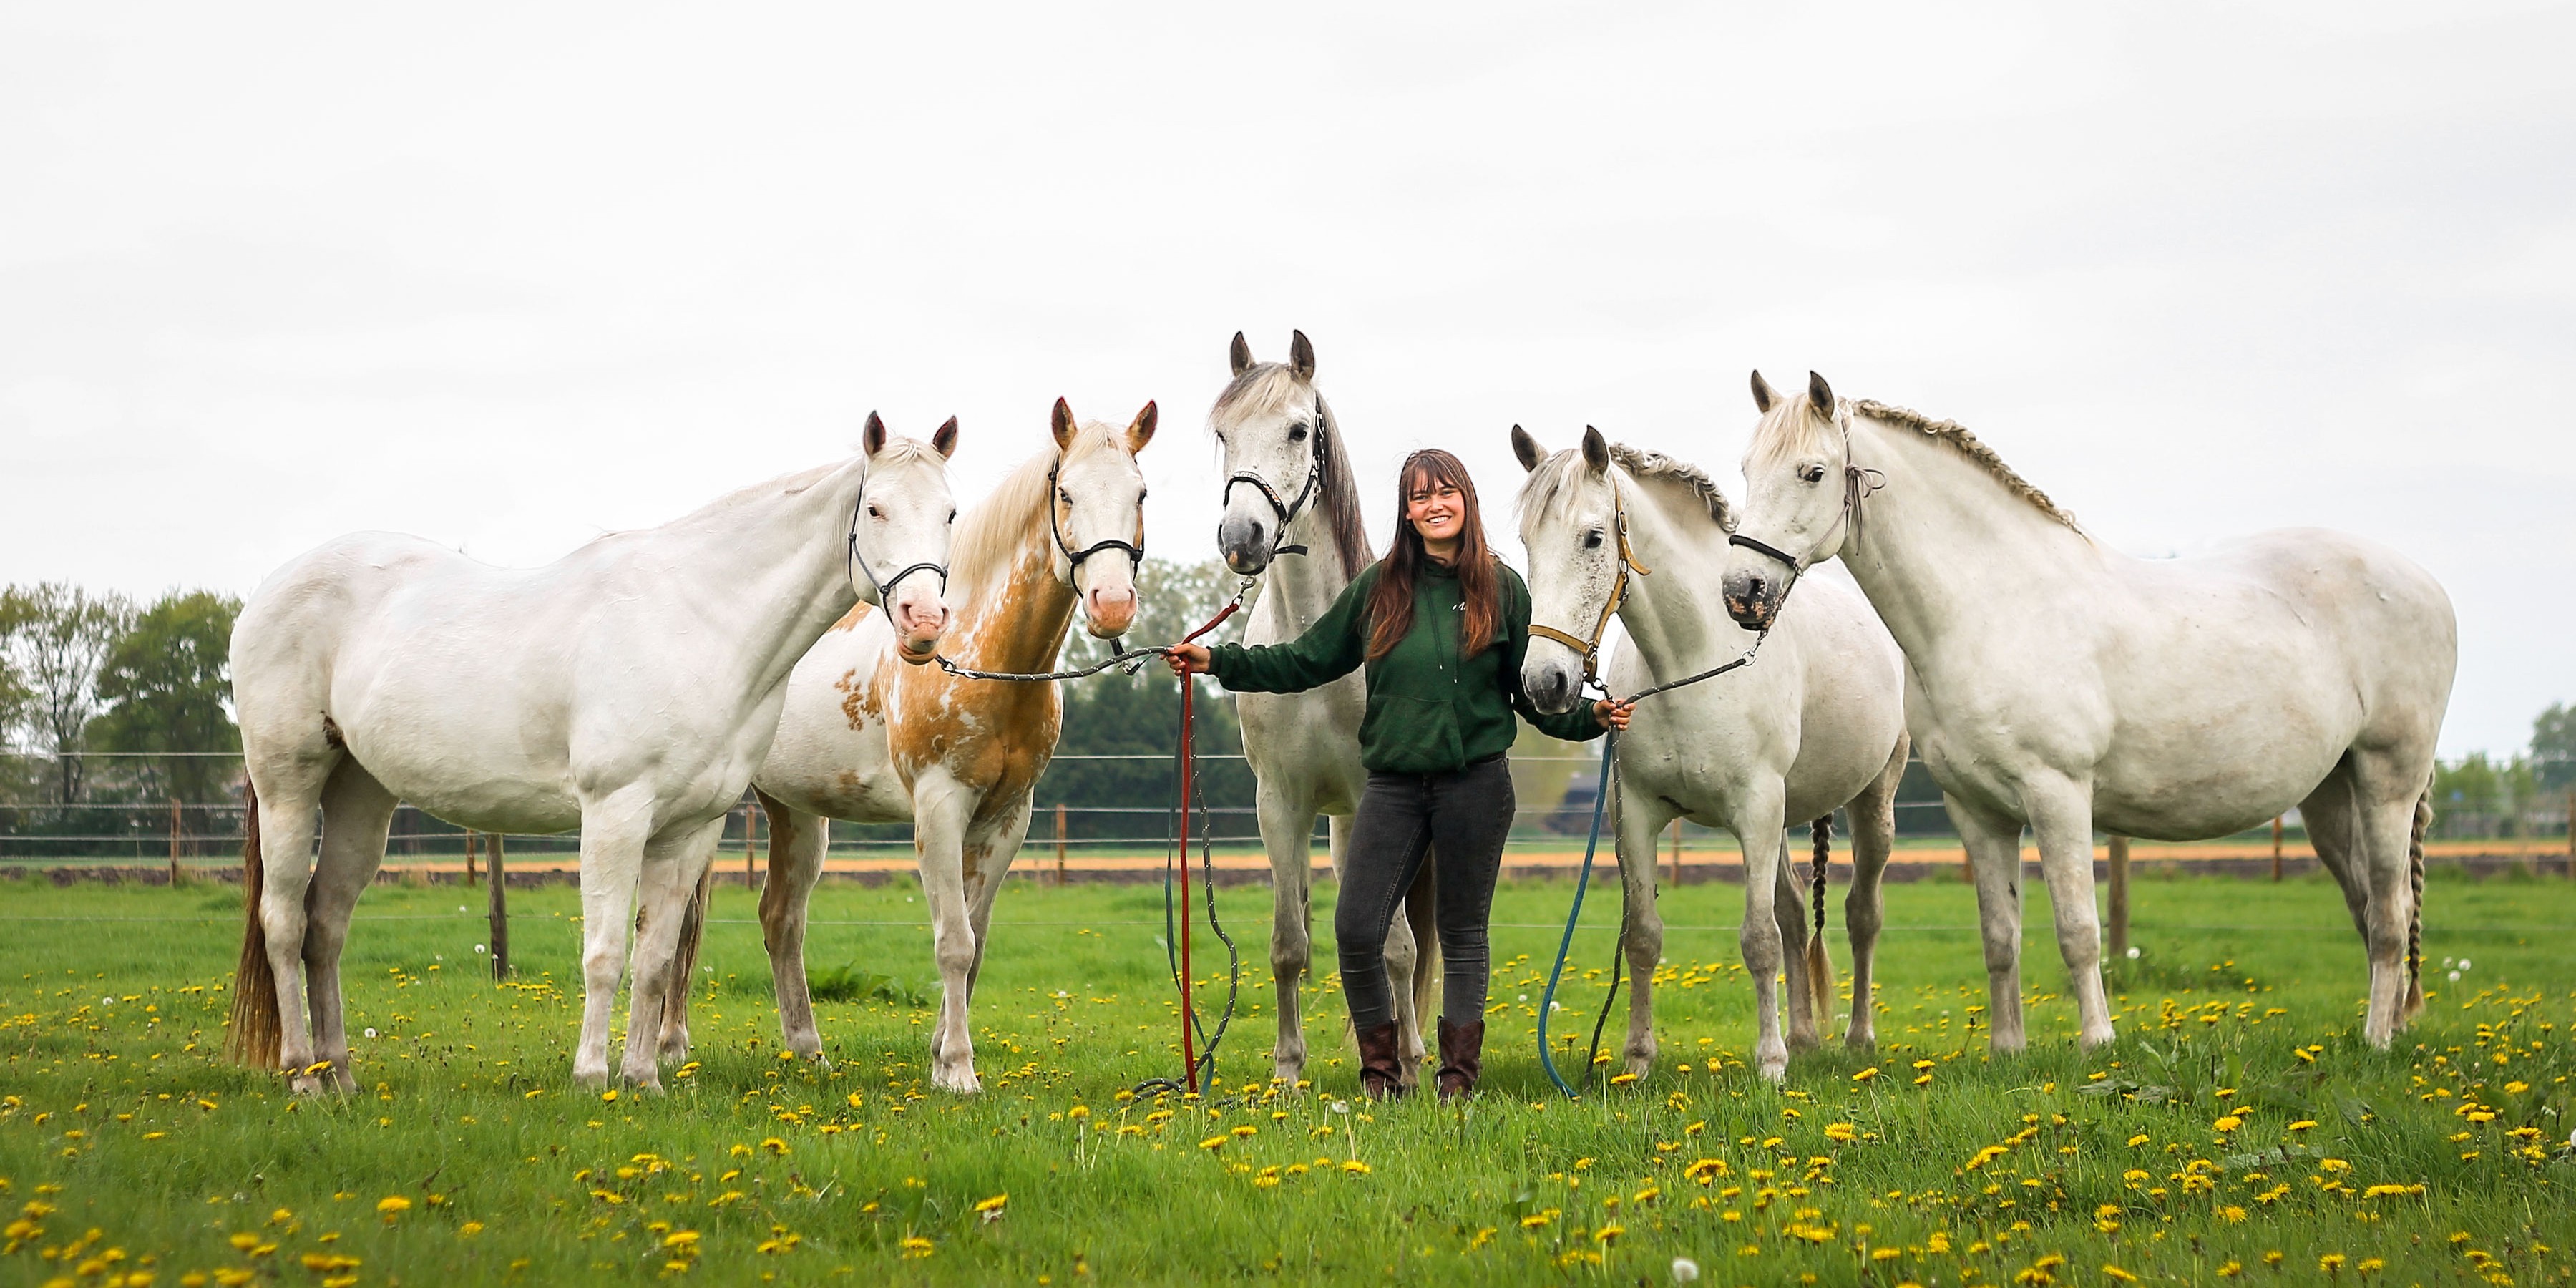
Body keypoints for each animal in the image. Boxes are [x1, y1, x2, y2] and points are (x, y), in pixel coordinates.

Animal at [225, 415, 961, 1093]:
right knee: (284, 923)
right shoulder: (615, 811)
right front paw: (590, 1075)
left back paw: (341, 1076)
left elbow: (655, 958)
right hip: (289, 785)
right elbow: (604, 954)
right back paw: (302, 1075)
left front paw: (642, 1078)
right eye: (876, 508)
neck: (698, 621)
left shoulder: (690, 829)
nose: (924, 623)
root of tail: (269, 589)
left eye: (951, 512)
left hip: (360, 793)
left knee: (326, 925)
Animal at [725, 399, 1155, 1094]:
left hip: (796, 813)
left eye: (1140, 494)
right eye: (1066, 493)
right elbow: (953, 942)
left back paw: (809, 1053)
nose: (1111, 603)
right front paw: (956, 1071)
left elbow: (975, 945)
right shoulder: (939, 808)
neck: (988, 661)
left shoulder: (1007, 820)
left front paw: (938, 1054)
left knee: (781, 919)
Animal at [1210, 330, 1440, 1088]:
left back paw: (1409, 1049)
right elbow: (1290, 943)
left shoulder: (1379, 800)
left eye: (1297, 429)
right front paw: (1288, 1067)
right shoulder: (1279, 805)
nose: (1242, 537)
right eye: (1223, 433)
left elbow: (1396, 945)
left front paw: (1404, 1062)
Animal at [1512, 425, 1911, 1084]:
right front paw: (1638, 1060)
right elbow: (1643, 937)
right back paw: (1804, 1038)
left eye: (1593, 537)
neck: (1693, 661)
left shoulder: (1755, 810)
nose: (1545, 682)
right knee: (1795, 911)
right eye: (1526, 540)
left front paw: (1769, 1064)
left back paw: (1856, 1039)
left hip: (1870, 802)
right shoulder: (1638, 816)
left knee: (1862, 914)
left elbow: (1759, 939)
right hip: (1782, 821)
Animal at [1719, 372, 2455, 1051]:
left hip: (2387, 781)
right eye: (1747, 470)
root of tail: (2428, 585)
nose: (1741, 591)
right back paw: (2388, 1027)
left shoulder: (2059, 795)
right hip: (2330, 797)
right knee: (2366, 904)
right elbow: (2000, 934)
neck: (1994, 606)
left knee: (2390, 914)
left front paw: (2098, 1044)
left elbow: (2078, 929)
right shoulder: (1977, 811)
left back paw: (2377, 1040)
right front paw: (2007, 1050)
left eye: (1812, 472)